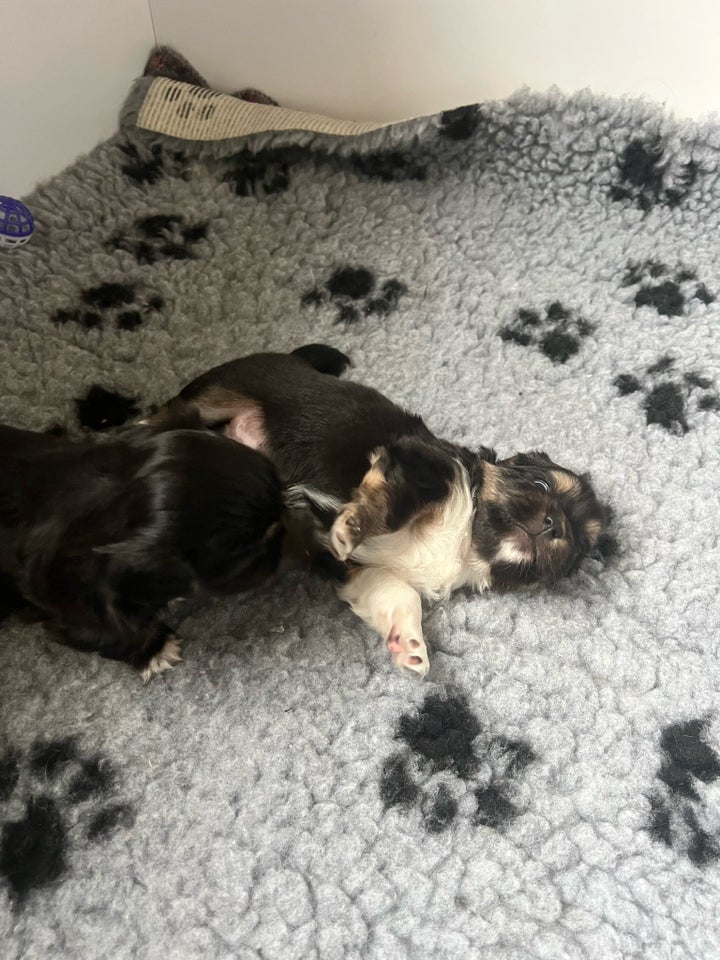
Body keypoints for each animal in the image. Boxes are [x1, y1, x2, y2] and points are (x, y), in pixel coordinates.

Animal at [146, 344, 608, 676]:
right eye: (540, 484)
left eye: (580, 546)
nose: (554, 525)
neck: (465, 539)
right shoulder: (424, 466)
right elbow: (391, 503)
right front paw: (352, 524)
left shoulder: (363, 571)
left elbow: (398, 595)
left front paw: (410, 647)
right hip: (224, 389)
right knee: (170, 411)